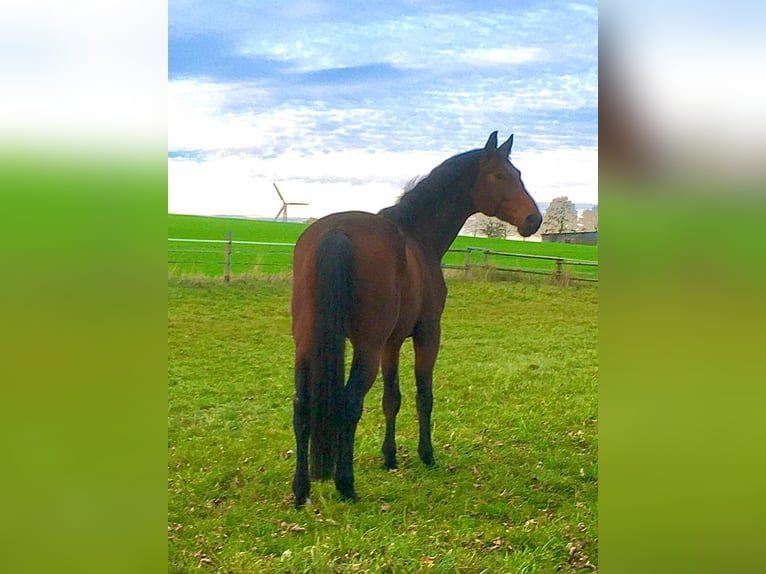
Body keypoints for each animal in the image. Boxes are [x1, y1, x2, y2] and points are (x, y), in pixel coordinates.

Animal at [290, 131, 542, 507]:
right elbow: (424, 396)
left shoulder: (391, 344)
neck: (417, 237)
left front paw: (390, 457)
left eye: (518, 174)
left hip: (307, 343)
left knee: (301, 405)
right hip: (365, 348)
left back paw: (301, 489)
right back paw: (346, 485)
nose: (533, 220)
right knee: (349, 404)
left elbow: (391, 399)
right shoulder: (427, 335)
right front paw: (427, 455)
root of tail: (337, 231)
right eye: (500, 175)